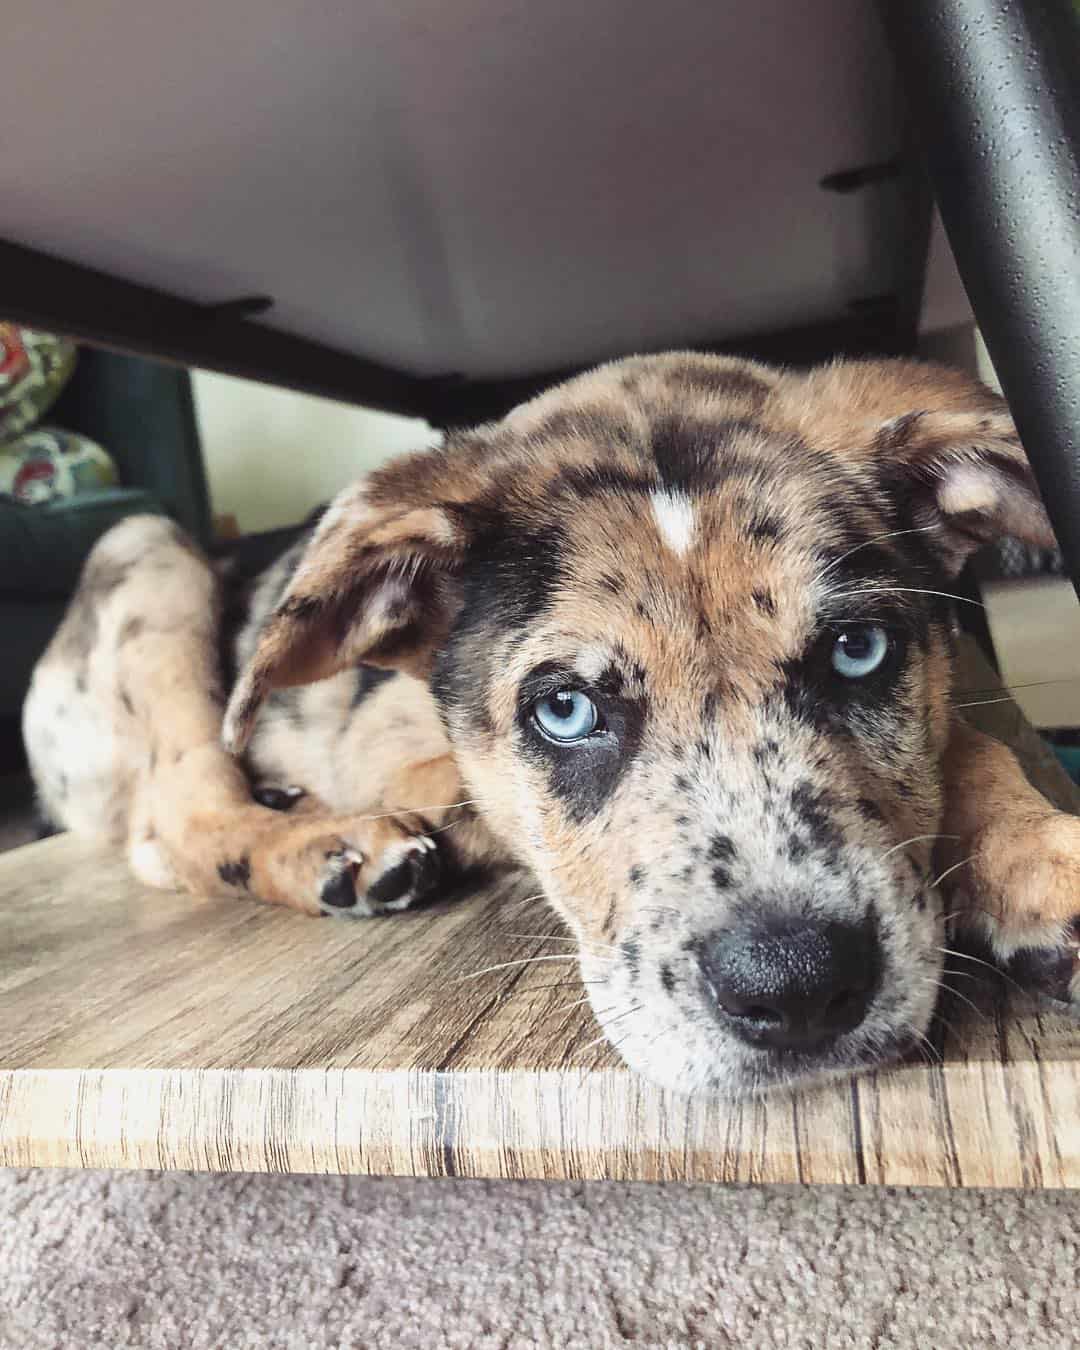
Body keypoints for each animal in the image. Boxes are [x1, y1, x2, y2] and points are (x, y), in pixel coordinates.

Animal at [25, 356, 1080, 1096]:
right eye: (565, 709)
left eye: (859, 650)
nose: (797, 989)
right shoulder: (391, 754)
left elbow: (971, 743)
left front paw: (1041, 859)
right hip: (148, 550)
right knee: (176, 817)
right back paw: (335, 848)